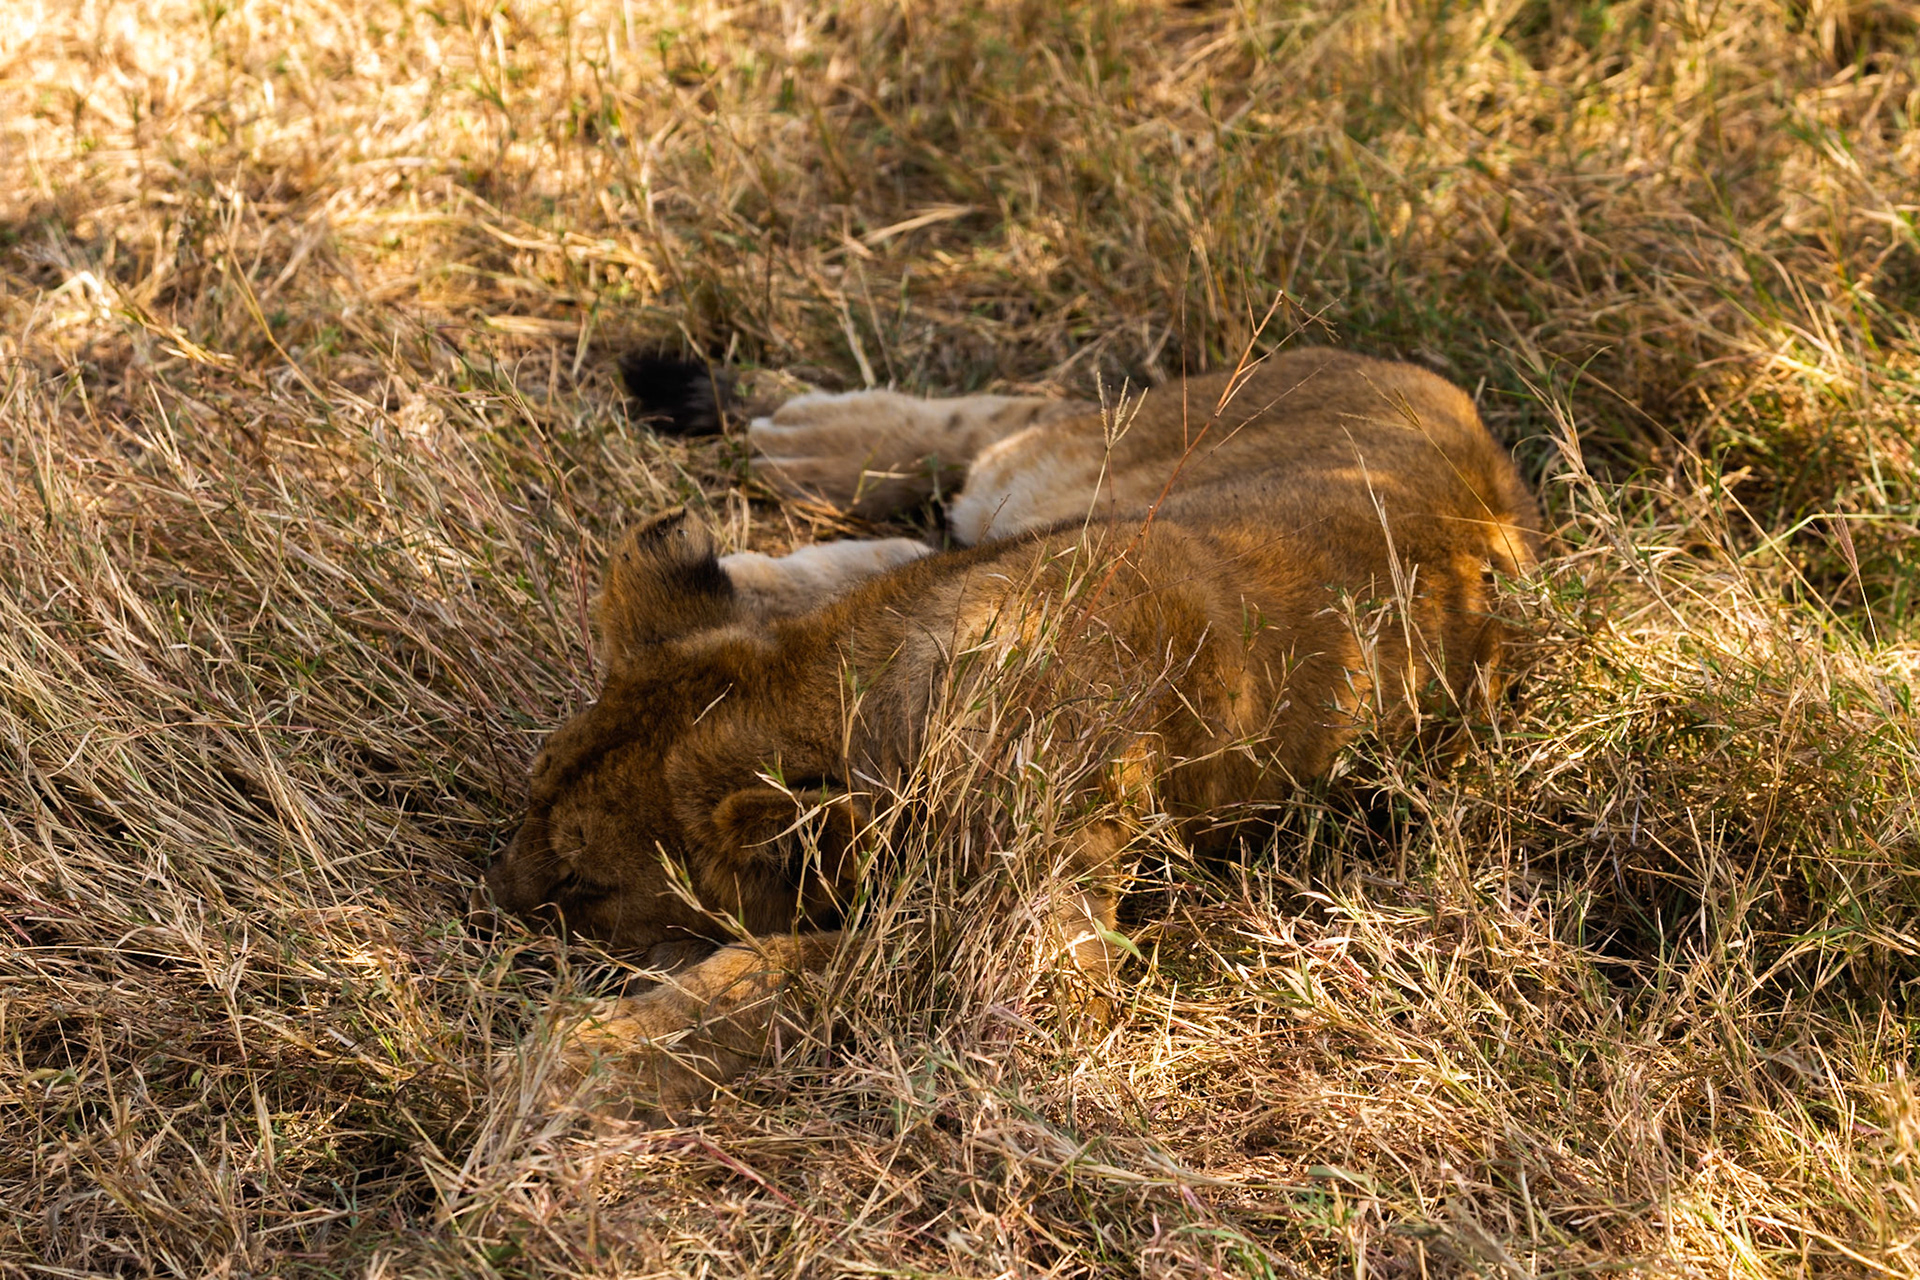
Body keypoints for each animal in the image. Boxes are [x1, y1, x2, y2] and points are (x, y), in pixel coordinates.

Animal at [479, 346, 1540, 1116]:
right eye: (528, 796)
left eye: (580, 884)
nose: (492, 901)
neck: (882, 703)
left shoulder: (1033, 968)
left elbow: (789, 975)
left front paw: (582, 1066)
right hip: (1070, 488)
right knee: (992, 445)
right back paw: (796, 469)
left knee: (989, 449)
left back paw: (801, 454)